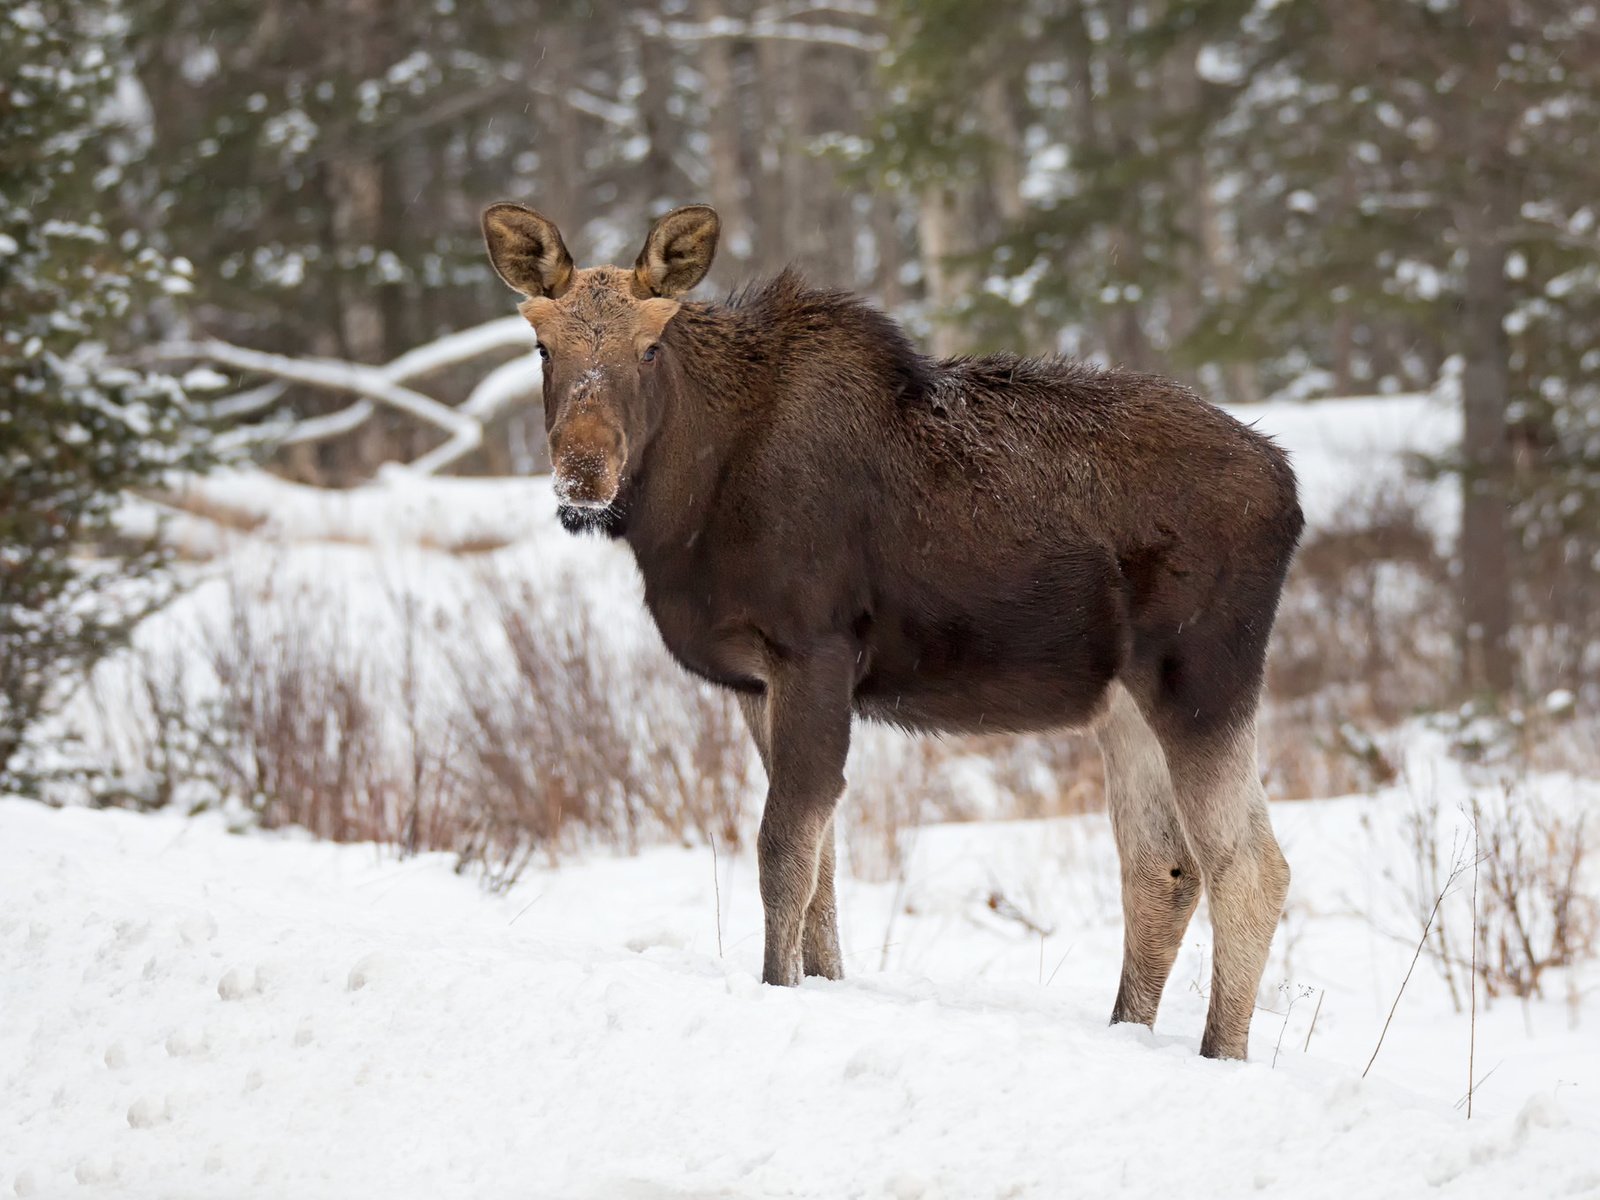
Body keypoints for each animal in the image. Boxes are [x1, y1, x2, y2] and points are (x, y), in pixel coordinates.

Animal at [483, 204, 1299, 1062]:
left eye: (649, 345)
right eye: (543, 345)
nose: (582, 474)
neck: (688, 508)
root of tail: (1291, 487)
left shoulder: (813, 648)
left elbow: (784, 852)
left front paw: (778, 986)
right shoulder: (754, 679)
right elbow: (823, 866)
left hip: (1201, 676)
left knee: (1251, 866)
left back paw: (1220, 1053)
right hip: (1126, 702)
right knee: (1162, 866)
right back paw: (1128, 1029)